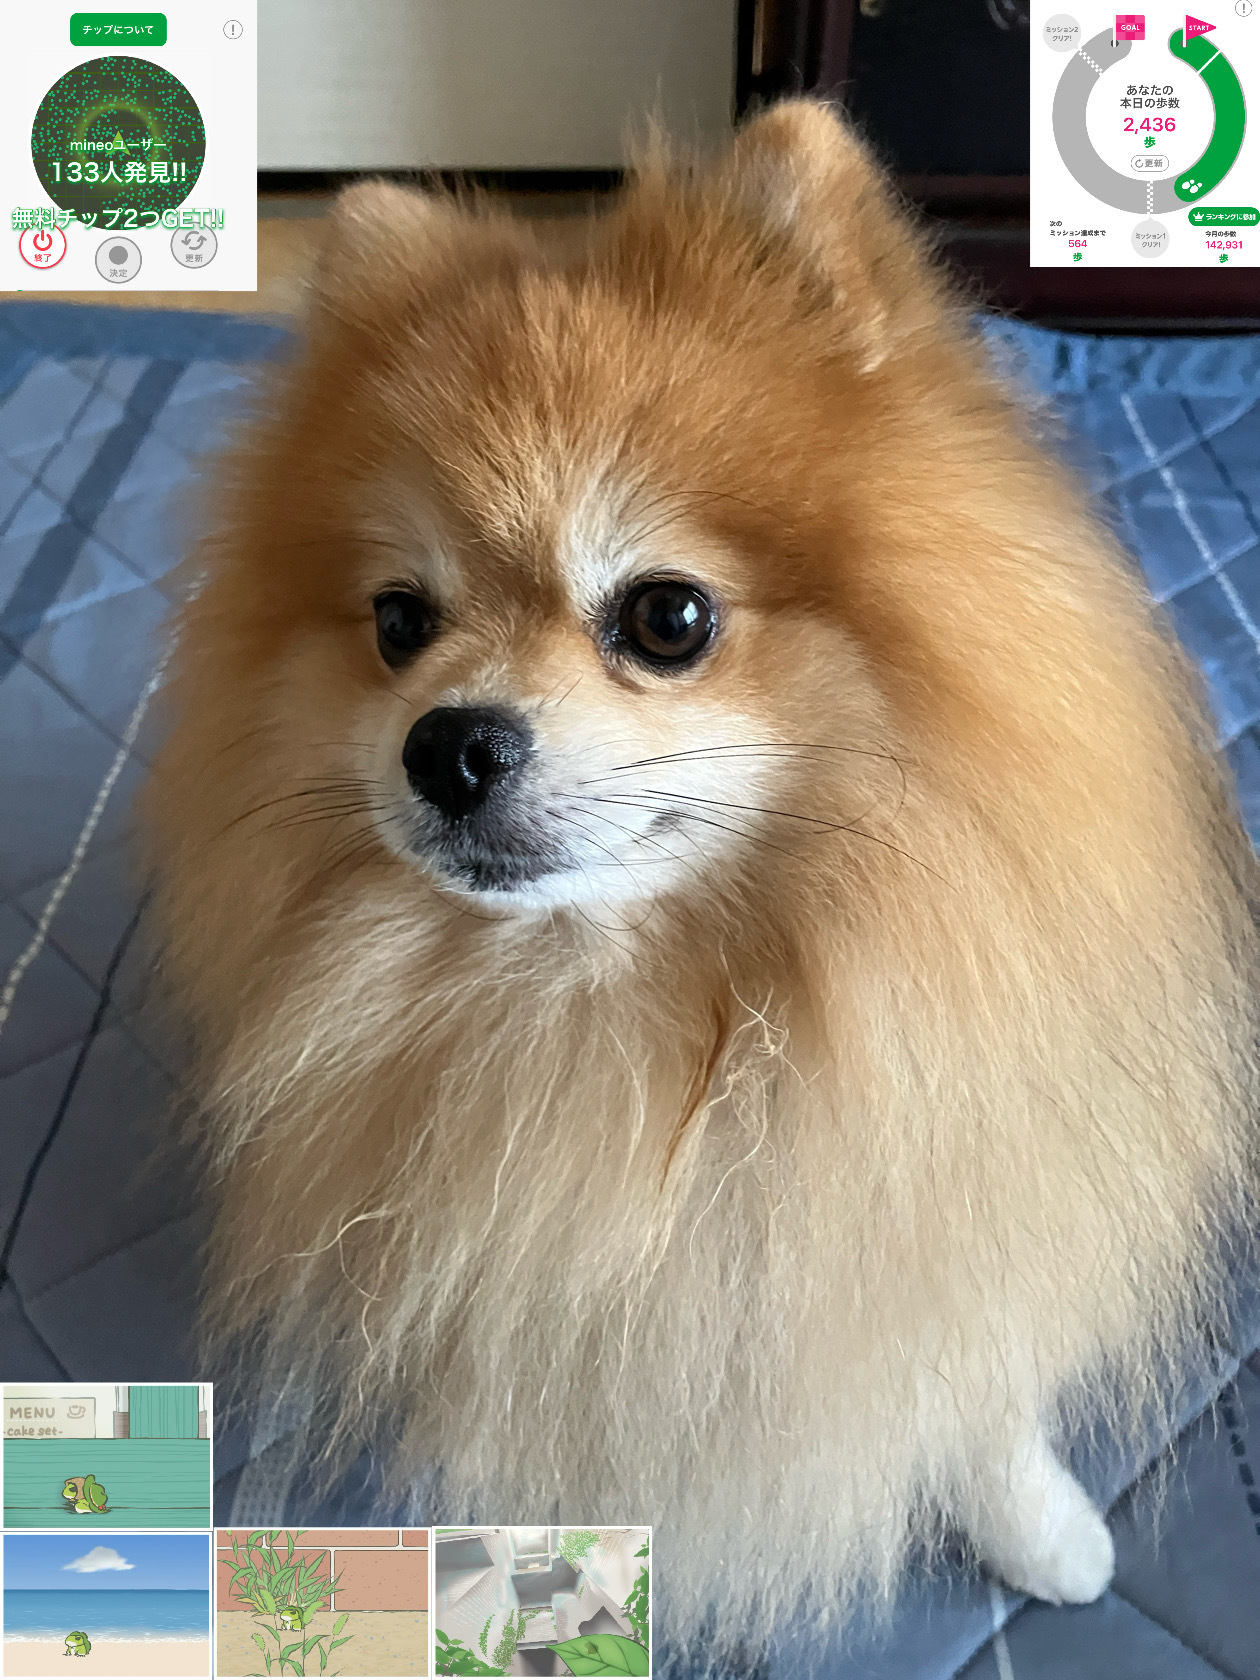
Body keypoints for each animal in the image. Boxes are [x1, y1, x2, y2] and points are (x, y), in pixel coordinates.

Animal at [142, 101, 1260, 1665]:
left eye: (668, 617)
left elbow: (970, 1385)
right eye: (400, 622)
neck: (643, 1016)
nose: (447, 744)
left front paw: (1042, 1529)